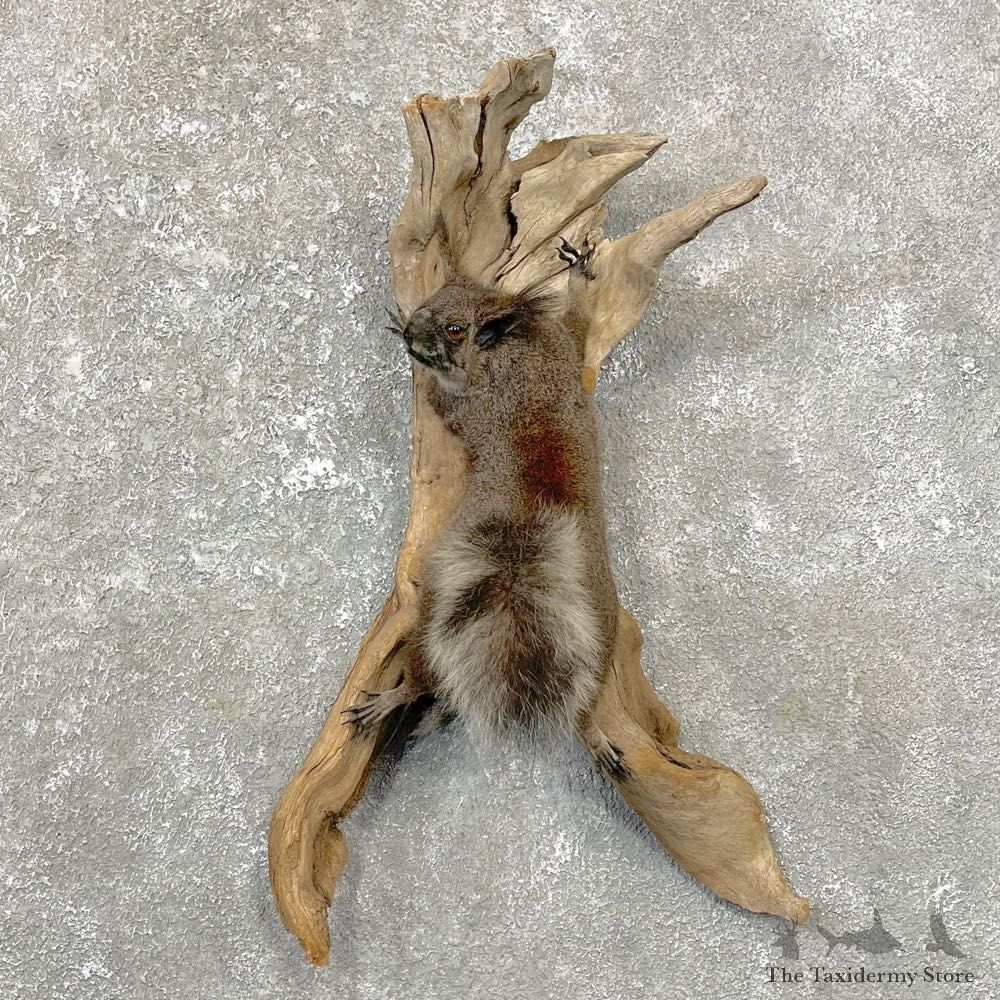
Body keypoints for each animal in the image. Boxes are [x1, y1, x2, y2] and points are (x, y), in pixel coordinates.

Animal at [343, 239, 628, 780]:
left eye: (455, 329)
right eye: (433, 296)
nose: (411, 332)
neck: (511, 344)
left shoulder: (471, 398)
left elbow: (439, 394)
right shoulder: (564, 347)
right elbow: (581, 324)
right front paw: (580, 277)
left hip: (435, 602)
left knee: (425, 668)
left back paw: (394, 697)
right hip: (602, 621)